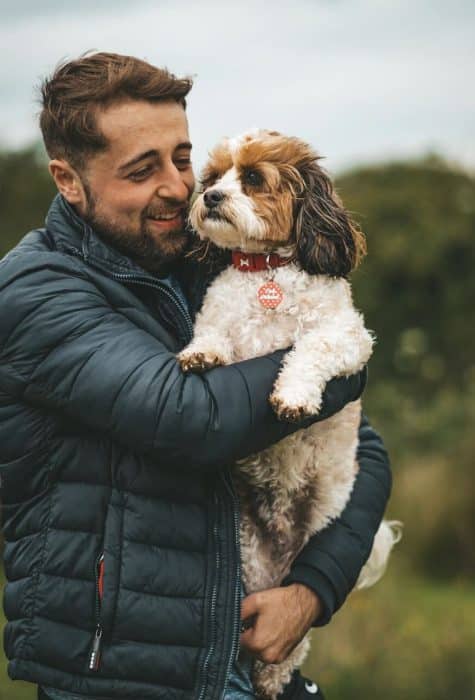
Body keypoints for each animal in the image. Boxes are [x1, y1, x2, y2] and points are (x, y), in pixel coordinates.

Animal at [178, 129, 402, 696]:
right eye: (212, 177)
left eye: (254, 178)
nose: (210, 197)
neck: (266, 271)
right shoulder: (220, 320)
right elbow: (213, 336)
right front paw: (201, 354)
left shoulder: (349, 337)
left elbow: (308, 350)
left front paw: (294, 396)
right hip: (249, 561)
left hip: (314, 539)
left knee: (289, 649)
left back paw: (272, 678)